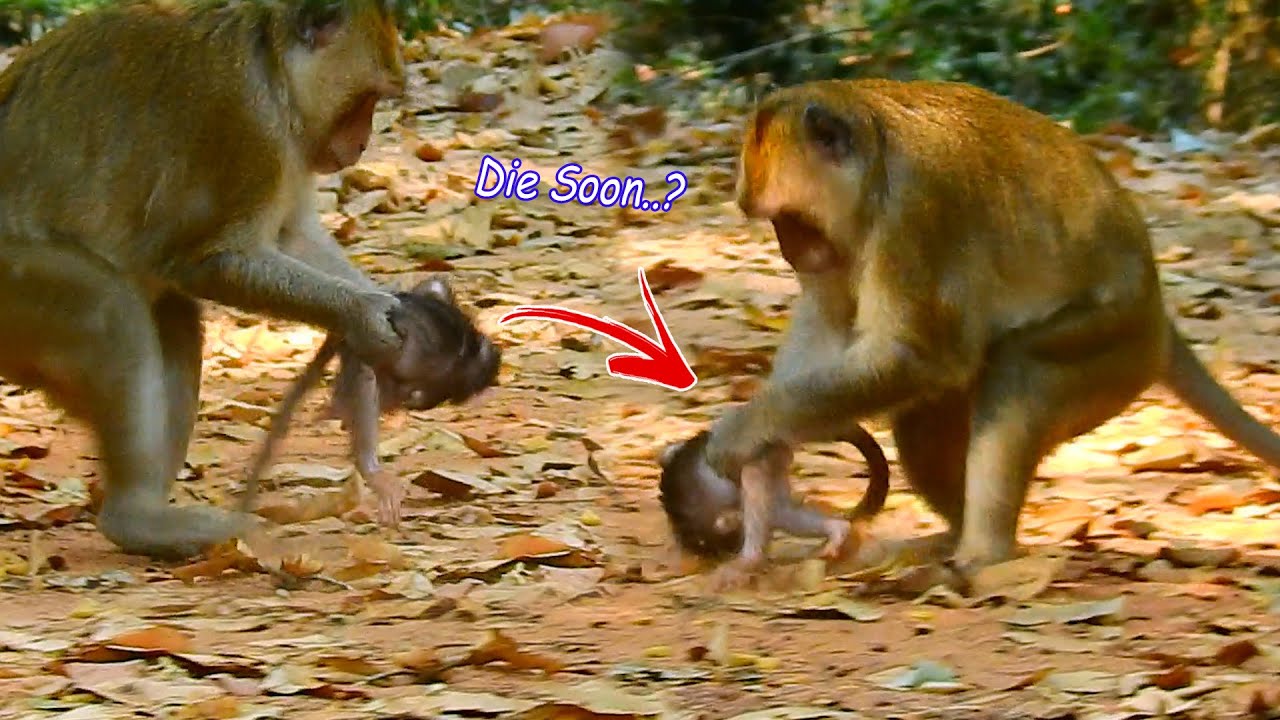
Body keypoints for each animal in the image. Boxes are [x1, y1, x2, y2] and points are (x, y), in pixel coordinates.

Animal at [0, 0, 411, 560]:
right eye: (365, 100)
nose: (364, 143)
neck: (269, 61)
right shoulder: (247, 126)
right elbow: (211, 261)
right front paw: (362, 314)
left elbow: (293, 234)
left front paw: (373, 303)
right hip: (13, 285)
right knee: (108, 307)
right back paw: (137, 517)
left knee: (173, 316)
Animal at [702, 78, 1280, 585]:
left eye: (791, 221)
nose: (791, 251)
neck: (876, 162)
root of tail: (1158, 310)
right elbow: (832, 325)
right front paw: (762, 474)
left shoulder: (913, 212)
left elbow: (918, 357)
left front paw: (744, 431)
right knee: (924, 419)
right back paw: (951, 536)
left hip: (1115, 341)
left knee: (1019, 366)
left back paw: (982, 554)